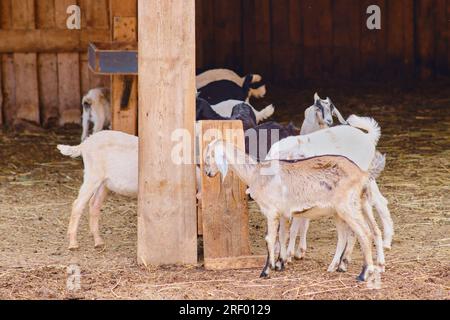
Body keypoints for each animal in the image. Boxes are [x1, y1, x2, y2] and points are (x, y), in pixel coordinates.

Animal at [204, 139, 384, 280]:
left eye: (208, 156)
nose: (208, 173)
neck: (255, 173)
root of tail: (363, 174)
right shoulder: (283, 213)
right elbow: (283, 236)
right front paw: (280, 263)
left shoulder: (271, 211)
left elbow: (270, 239)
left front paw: (266, 270)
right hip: (343, 210)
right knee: (352, 234)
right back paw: (337, 267)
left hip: (347, 207)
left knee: (364, 233)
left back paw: (363, 274)